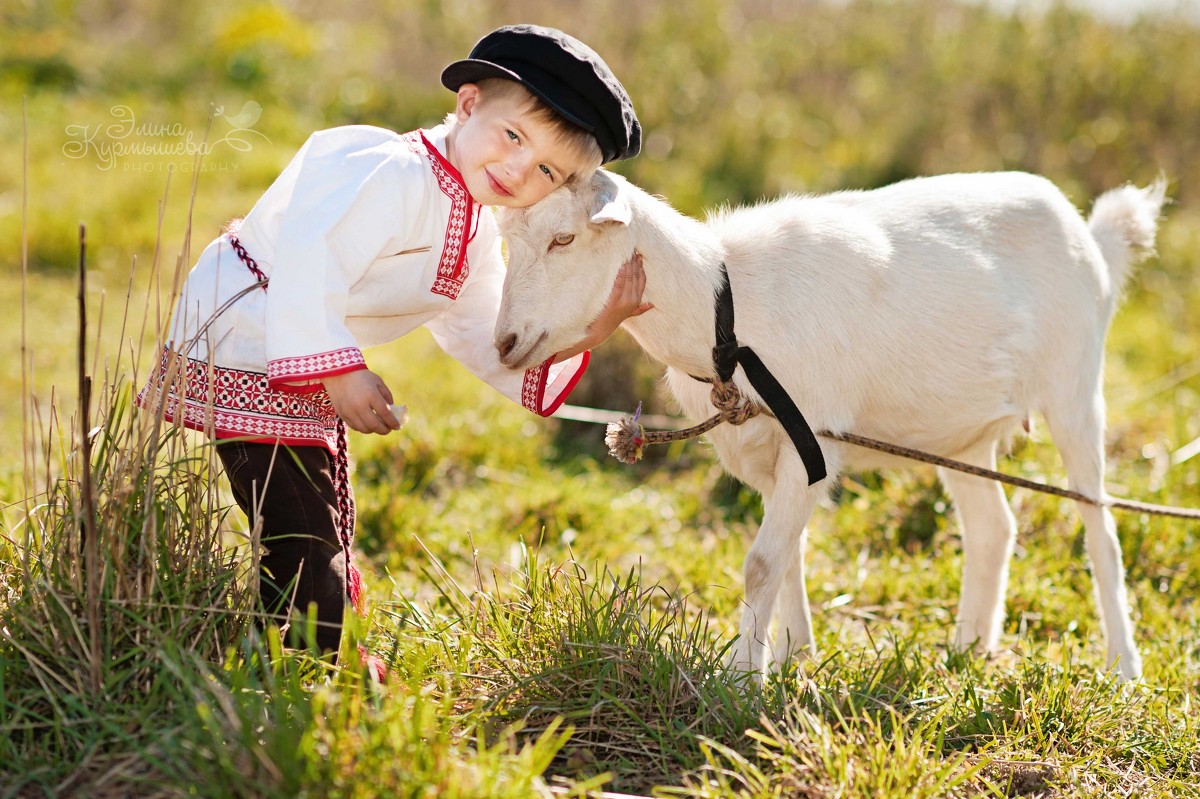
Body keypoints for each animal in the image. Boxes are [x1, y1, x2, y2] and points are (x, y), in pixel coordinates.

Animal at [492, 169, 1166, 676]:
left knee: (1098, 523)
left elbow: (762, 563)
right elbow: (786, 557)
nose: (505, 343)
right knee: (992, 528)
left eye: (563, 240)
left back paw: (1123, 666)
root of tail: (1092, 236)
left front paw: (742, 682)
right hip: (961, 434)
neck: (725, 310)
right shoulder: (766, 452)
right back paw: (967, 649)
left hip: (1076, 386)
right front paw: (795, 658)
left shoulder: (807, 440)